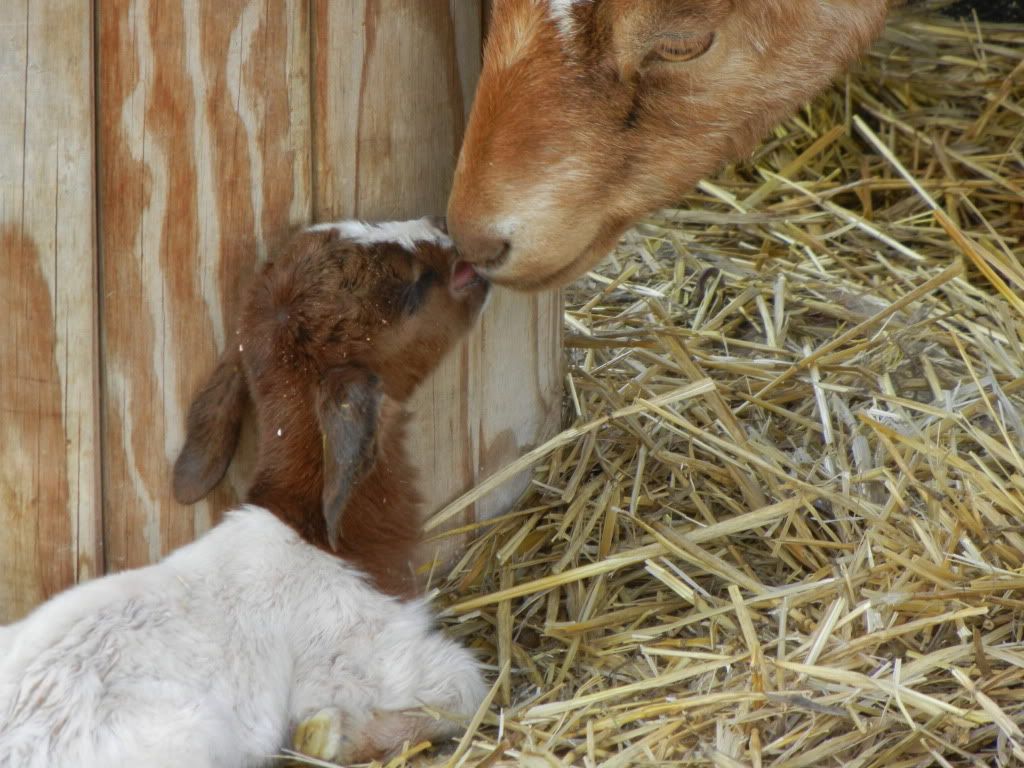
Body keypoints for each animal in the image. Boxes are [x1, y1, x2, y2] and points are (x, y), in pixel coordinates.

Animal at [0, 218, 490, 768]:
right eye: (414, 287)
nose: (442, 227)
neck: (313, 528)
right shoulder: (358, 656)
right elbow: (465, 687)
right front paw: (332, 736)